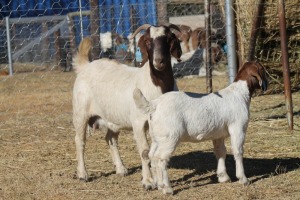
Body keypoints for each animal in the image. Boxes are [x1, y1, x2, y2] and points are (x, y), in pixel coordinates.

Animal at [72, 23, 183, 189]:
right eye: (148, 41)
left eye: (169, 39)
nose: (159, 61)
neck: (154, 85)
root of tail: (85, 66)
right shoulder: (138, 122)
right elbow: (145, 151)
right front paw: (148, 181)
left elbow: (157, 152)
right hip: (80, 113)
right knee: (80, 141)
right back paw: (82, 174)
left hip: (112, 118)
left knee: (110, 139)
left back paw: (120, 169)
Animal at [133, 61, 268, 194]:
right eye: (262, 69)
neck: (239, 93)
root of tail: (154, 104)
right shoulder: (238, 127)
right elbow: (238, 151)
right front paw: (243, 179)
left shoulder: (218, 134)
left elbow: (220, 152)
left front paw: (223, 177)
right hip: (170, 137)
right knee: (161, 159)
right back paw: (167, 188)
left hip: (158, 137)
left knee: (152, 156)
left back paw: (159, 185)